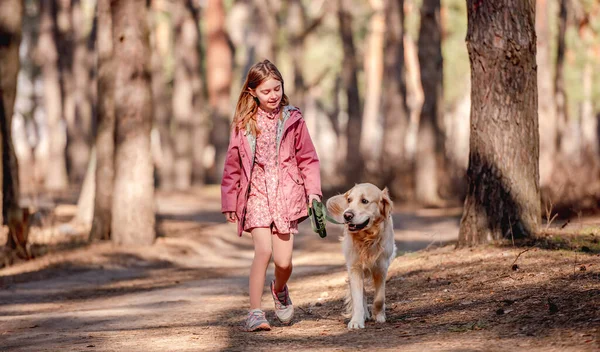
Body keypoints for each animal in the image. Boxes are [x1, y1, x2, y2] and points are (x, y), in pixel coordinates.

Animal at [326, 183, 396, 328]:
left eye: (364, 201)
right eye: (349, 200)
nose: (347, 215)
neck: (367, 239)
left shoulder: (381, 267)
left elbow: (379, 298)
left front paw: (379, 315)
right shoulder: (354, 267)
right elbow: (357, 297)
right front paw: (356, 321)